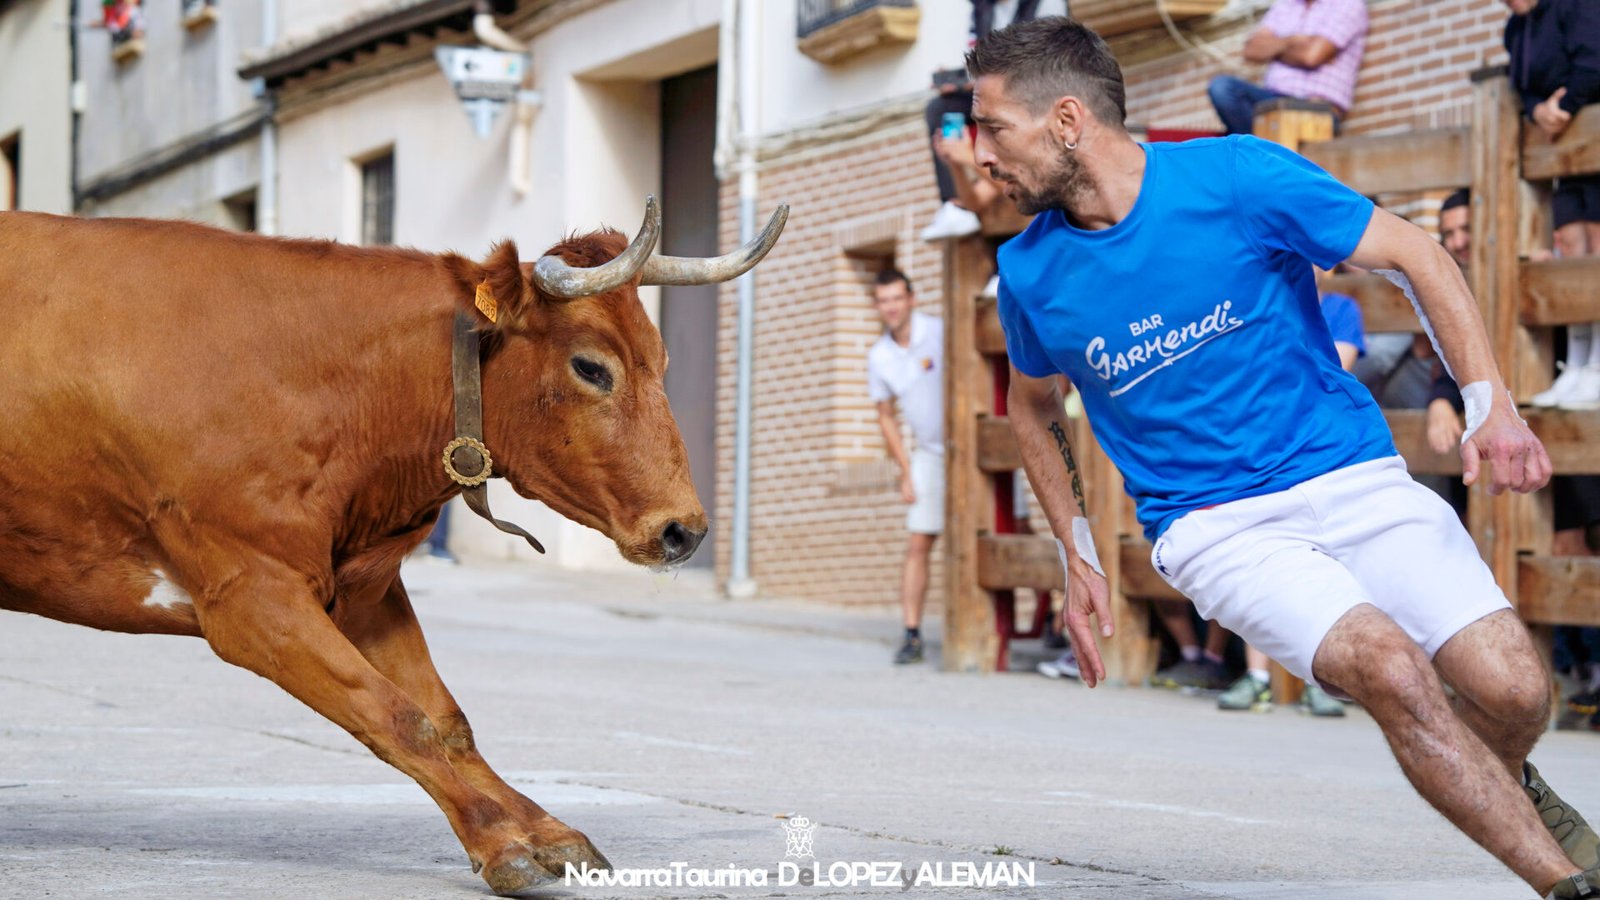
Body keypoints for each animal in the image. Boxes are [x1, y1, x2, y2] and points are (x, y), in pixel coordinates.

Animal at [0, 199, 787, 890]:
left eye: (661, 360)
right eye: (591, 367)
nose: (684, 530)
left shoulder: (364, 588)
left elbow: (447, 721)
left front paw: (544, 829)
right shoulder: (250, 597)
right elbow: (396, 717)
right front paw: (499, 843)